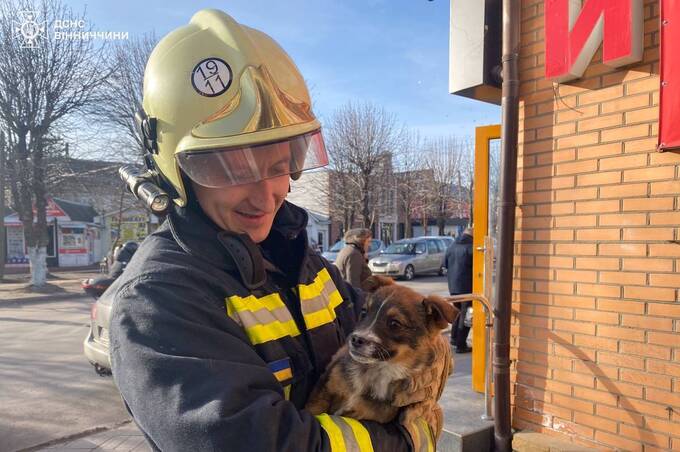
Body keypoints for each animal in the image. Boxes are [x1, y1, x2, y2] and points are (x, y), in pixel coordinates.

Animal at [306, 276, 456, 424]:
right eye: (364, 312)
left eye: (394, 323)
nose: (355, 339)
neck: (376, 370)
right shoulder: (324, 388)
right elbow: (313, 409)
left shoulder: (392, 405)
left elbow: (378, 410)